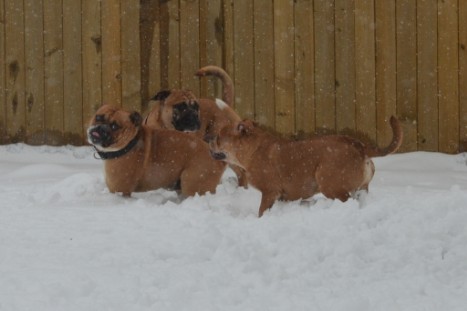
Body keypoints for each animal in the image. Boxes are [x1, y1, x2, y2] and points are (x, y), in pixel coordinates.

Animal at [88, 105, 228, 197]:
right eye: (98, 117)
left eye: (115, 126)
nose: (100, 128)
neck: (130, 143)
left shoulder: (119, 190)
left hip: (193, 184)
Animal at [210, 117, 404, 217]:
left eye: (219, 137)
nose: (207, 138)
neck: (253, 149)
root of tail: (360, 145)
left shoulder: (269, 192)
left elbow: (261, 210)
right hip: (361, 188)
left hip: (328, 183)